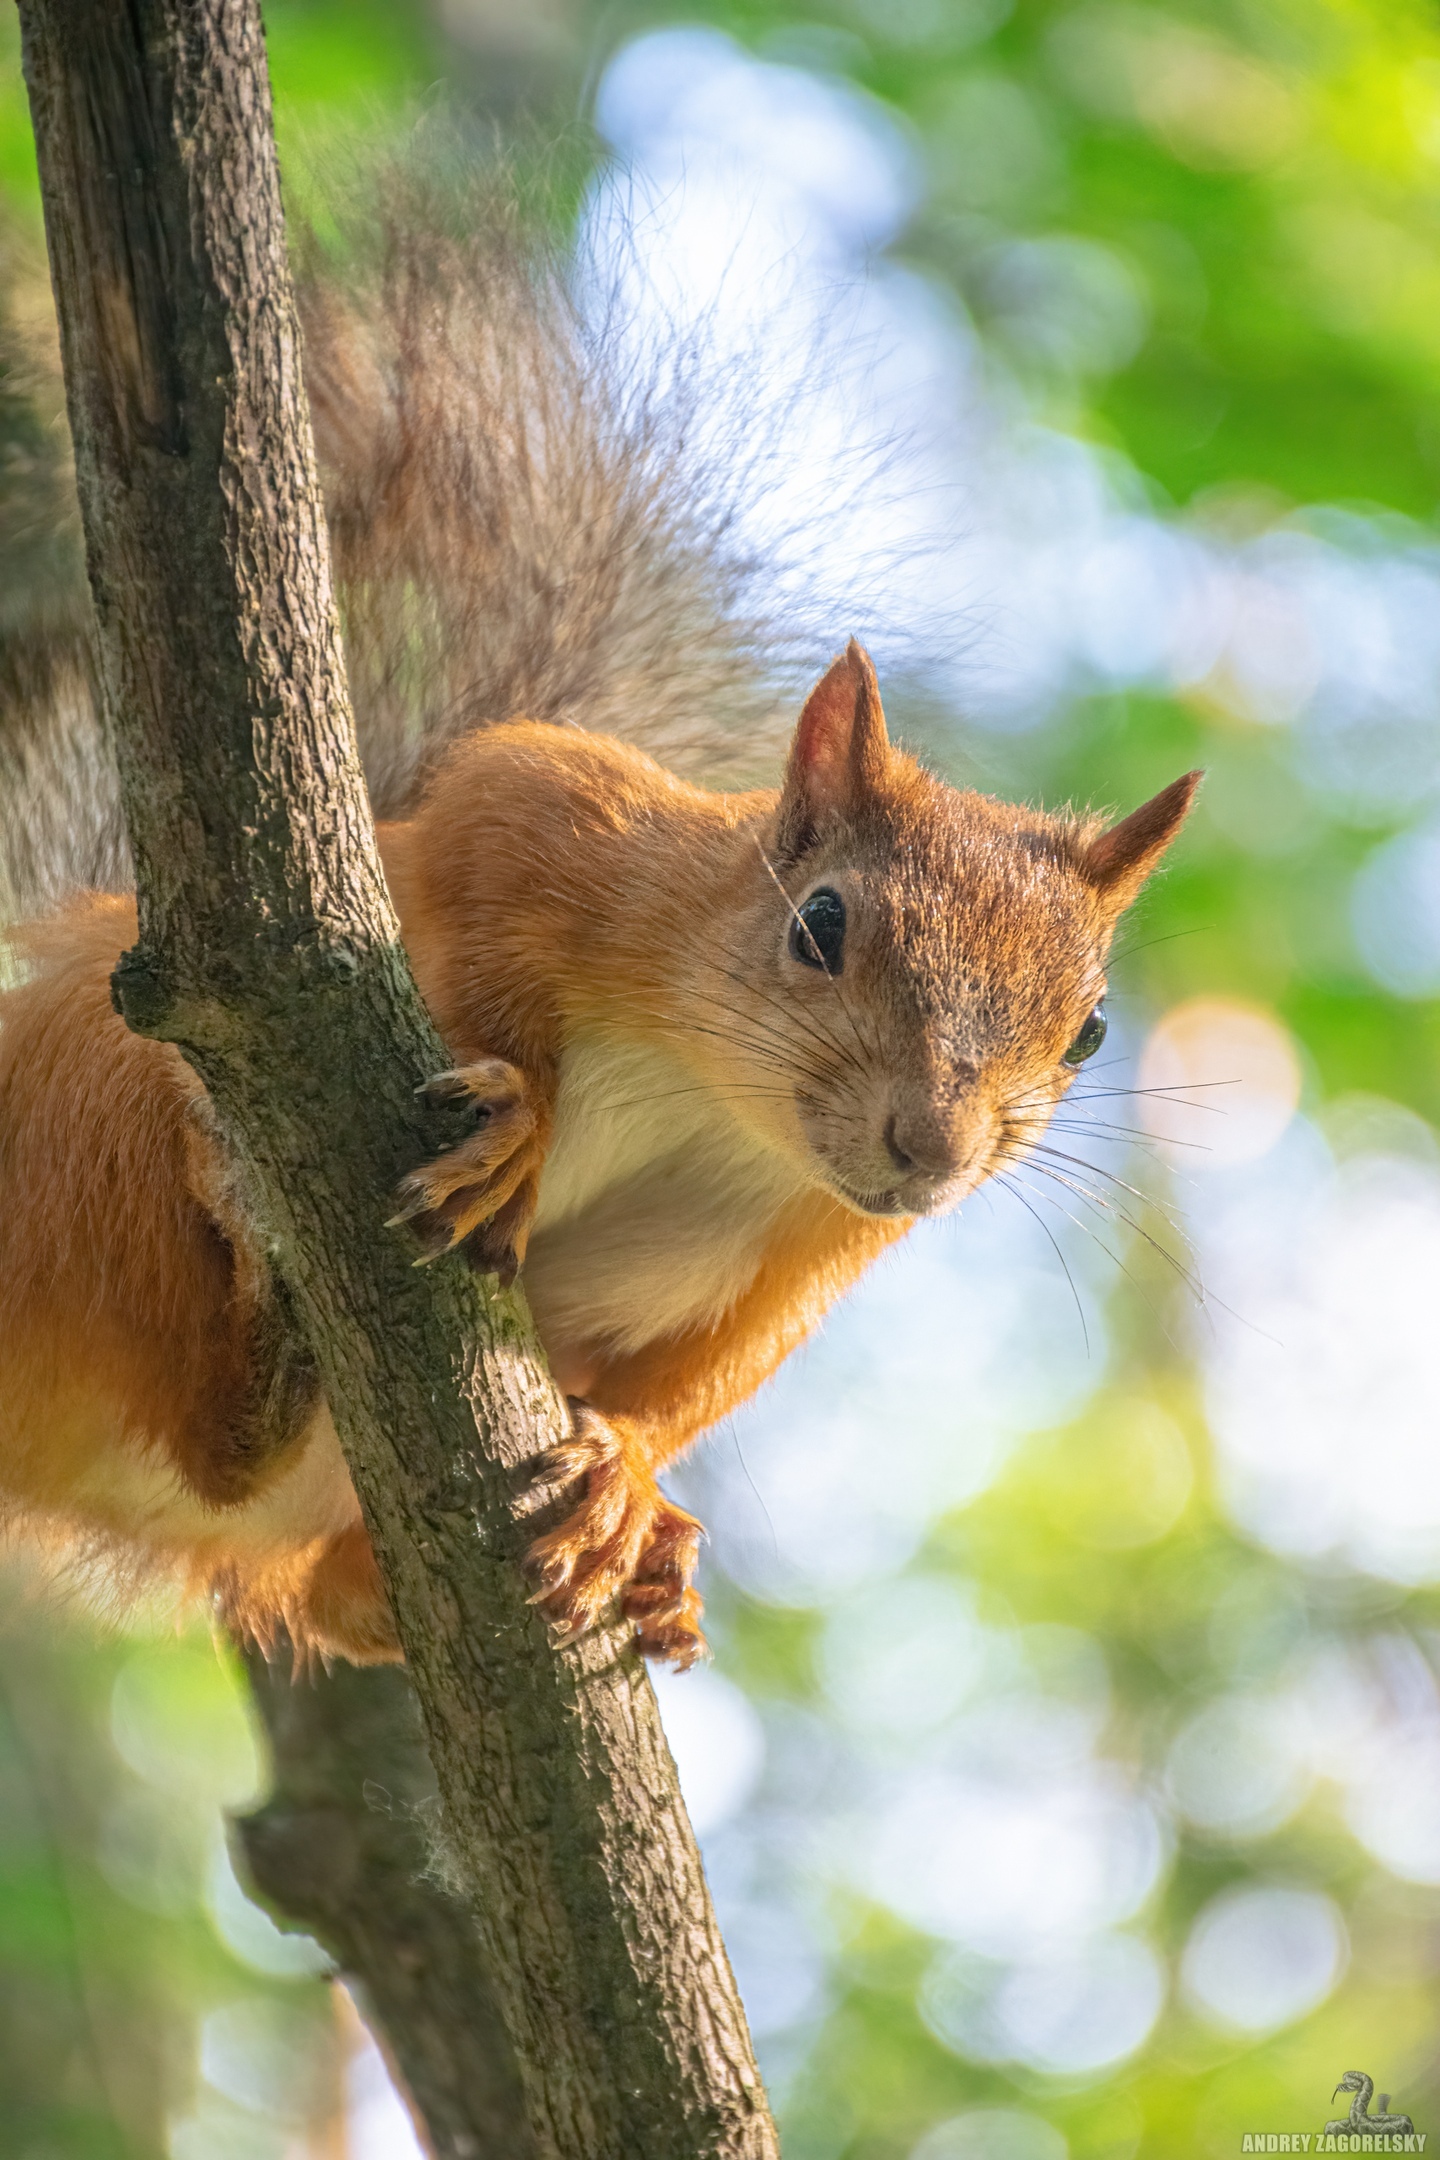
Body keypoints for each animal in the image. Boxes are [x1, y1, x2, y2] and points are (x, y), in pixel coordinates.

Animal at [0, 198, 1191, 1667]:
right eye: (821, 924)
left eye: (1088, 1032)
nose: (932, 1152)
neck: (721, 1099)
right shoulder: (558, 814)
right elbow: (485, 884)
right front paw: (522, 1118)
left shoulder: (809, 1245)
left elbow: (704, 1374)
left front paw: (624, 1474)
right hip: (90, 1113)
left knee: (273, 1543)